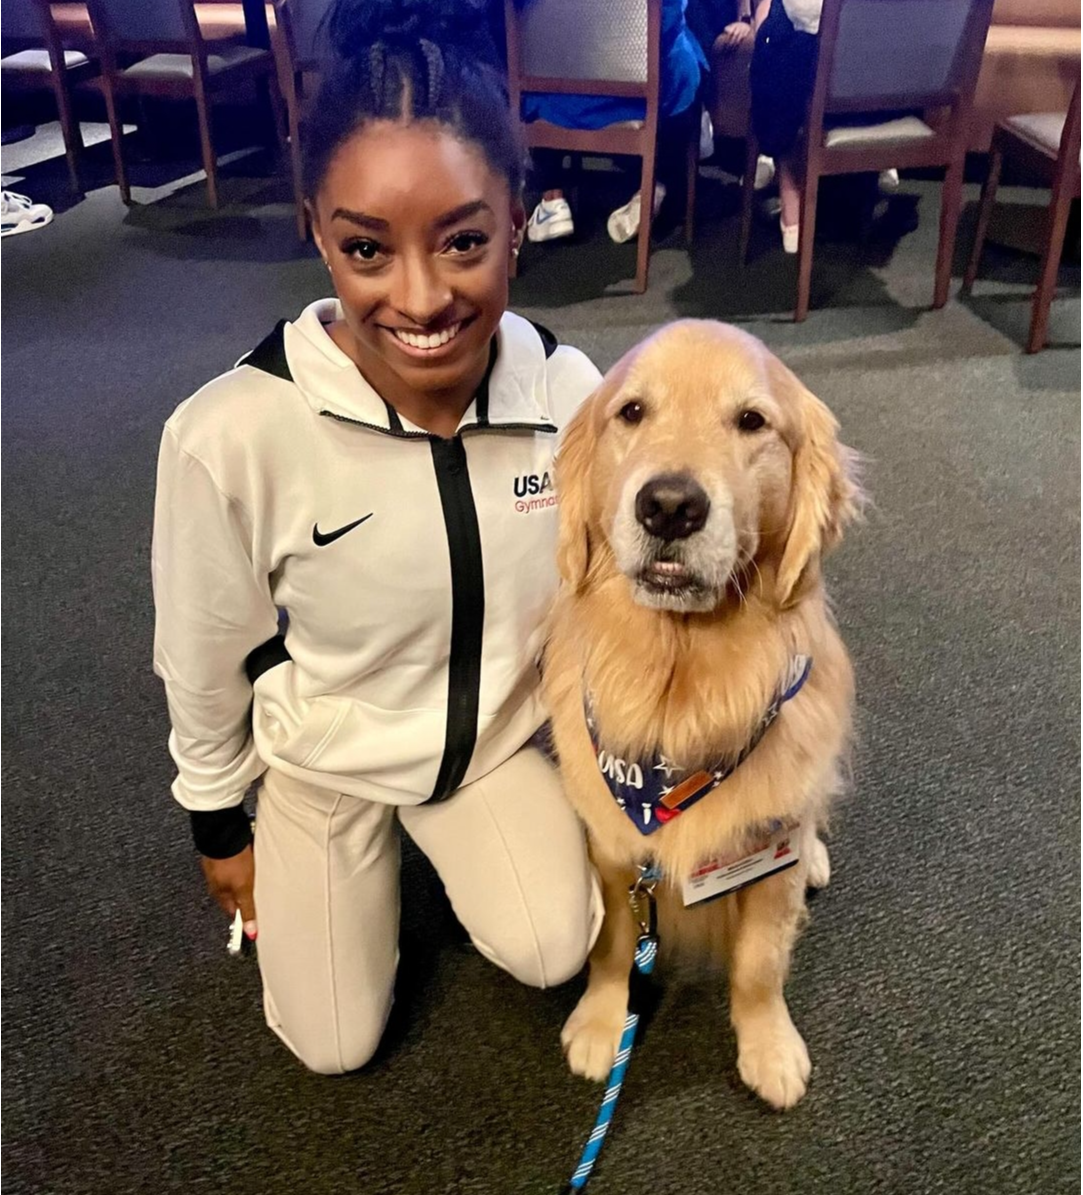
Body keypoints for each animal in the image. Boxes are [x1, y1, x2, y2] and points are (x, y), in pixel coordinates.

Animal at [545, 317, 855, 1108]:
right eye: (631, 412)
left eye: (751, 421)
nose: (669, 505)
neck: (679, 692)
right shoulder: (613, 844)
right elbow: (611, 945)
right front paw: (601, 1021)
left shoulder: (767, 855)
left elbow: (759, 964)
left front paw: (768, 1045)